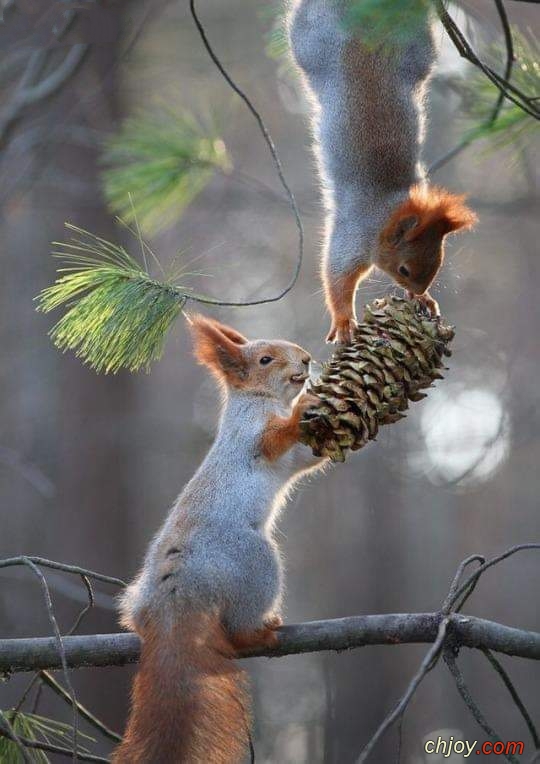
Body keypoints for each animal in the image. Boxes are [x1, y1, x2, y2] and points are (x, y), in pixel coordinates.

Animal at [113, 316, 324, 764]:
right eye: (265, 359)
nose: (306, 359)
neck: (258, 399)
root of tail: (177, 593)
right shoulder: (252, 434)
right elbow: (276, 439)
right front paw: (305, 405)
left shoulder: (295, 457)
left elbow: (308, 457)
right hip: (256, 561)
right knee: (239, 630)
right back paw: (261, 630)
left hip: (136, 602)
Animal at [286, 0, 476, 340]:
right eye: (403, 269)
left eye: (438, 262)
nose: (418, 289)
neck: (389, 209)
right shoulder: (354, 235)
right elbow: (336, 275)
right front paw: (344, 320)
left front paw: (423, 300)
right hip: (311, 40)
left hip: (416, 44)